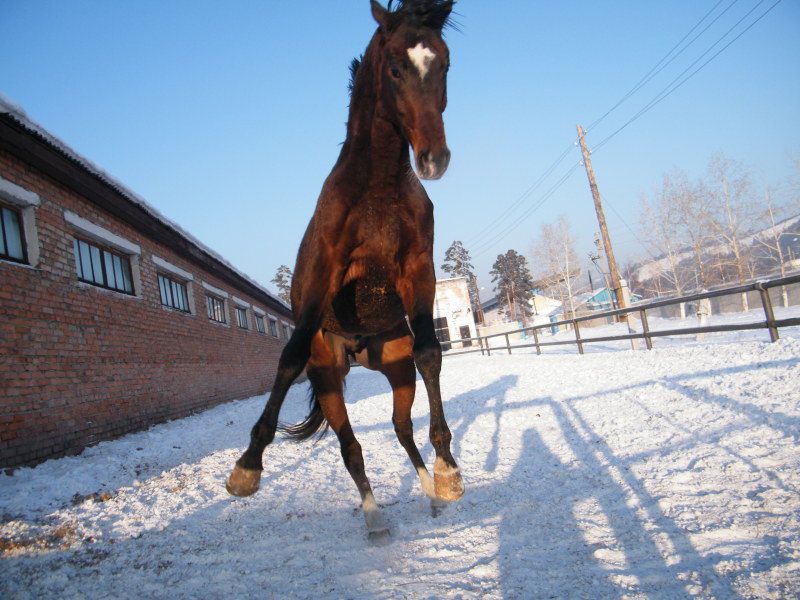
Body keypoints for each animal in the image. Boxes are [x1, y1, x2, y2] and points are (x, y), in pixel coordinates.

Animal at [227, 0, 462, 544]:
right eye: (395, 68)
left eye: (445, 64)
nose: (434, 159)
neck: (377, 188)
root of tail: (357, 349)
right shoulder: (326, 273)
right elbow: (288, 357)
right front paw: (247, 466)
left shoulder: (418, 268)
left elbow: (431, 352)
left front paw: (449, 471)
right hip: (330, 376)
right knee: (350, 447)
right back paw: (375, 519)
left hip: (394, 368)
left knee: (401, 429)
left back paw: (428, 492)